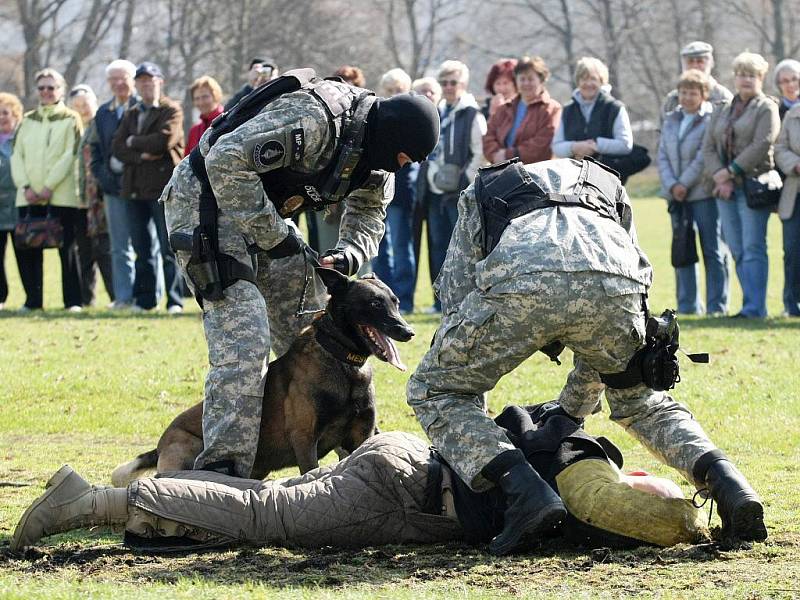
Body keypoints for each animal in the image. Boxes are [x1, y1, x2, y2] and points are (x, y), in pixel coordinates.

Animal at [112, 270, 416, 486]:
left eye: (396, 302)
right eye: (374, 303)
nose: (408, 332)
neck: (342, 362)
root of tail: (160, 443)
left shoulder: (360, 437)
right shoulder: (305, 439)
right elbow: (311, 472)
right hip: (193, 447)